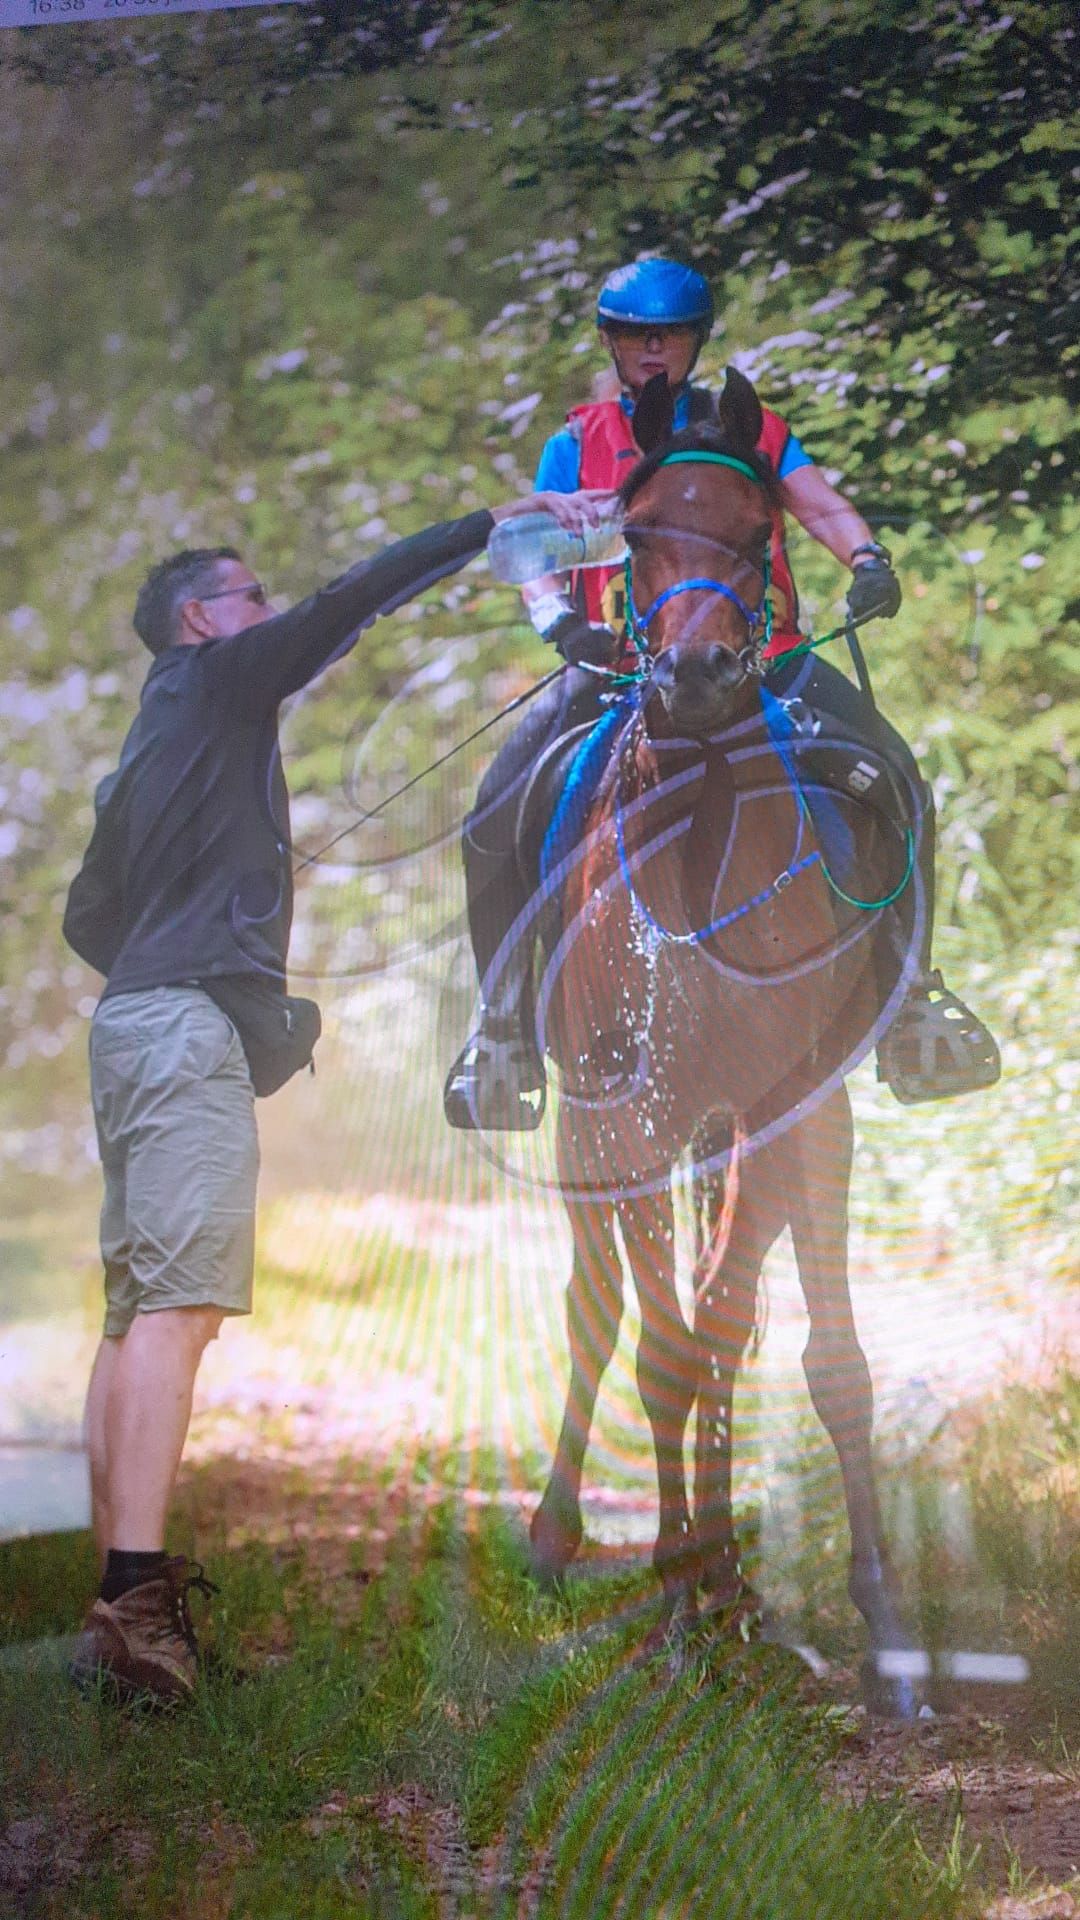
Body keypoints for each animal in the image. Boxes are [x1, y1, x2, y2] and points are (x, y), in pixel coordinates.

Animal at [524, 368, 924, 1714]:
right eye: (638, 534)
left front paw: (809, 1610)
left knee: (750, 1325)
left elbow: (758, 1341)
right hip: (591, 1129)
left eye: (756, 538)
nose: (693, 676)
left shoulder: (782, 1104)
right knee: (599, 1309)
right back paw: (562, 1539)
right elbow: (659, 1345)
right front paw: (681, 1599)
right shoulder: (627, 1113)